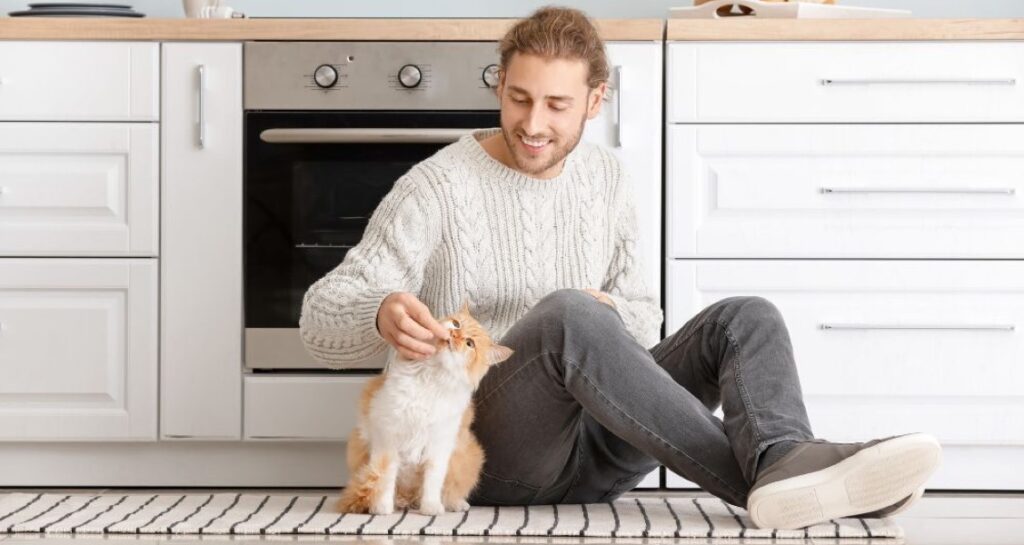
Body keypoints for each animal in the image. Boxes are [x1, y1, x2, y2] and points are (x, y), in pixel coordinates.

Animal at [335, 303, 512, 514]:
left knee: (448, 492)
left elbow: (432, 482)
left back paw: (455, 504)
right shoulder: (386, 438)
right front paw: (381, 507)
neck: (431, 377)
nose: (454, 334)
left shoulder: (439, 446)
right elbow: (385, 480)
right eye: (456, 323)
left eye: (470, 344)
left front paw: (431, 508)